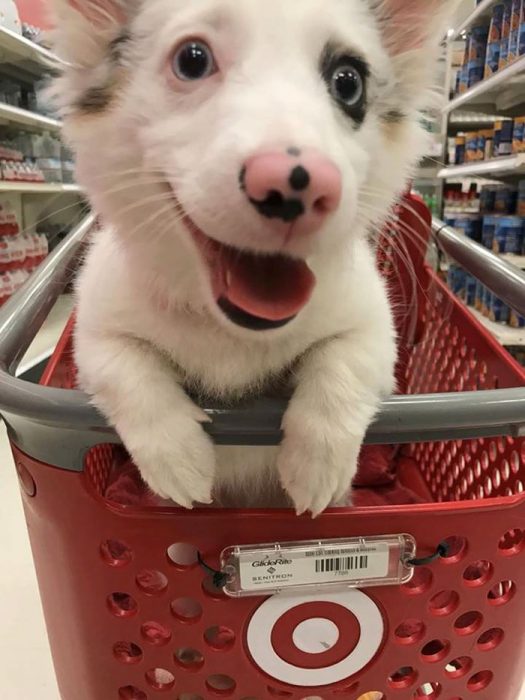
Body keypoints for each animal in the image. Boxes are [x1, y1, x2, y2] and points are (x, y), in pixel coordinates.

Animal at [51, 0, 456, 516]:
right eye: (192, 60)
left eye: (348, 82)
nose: (297, 185)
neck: (230, 332)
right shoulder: (95, 329)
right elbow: (125, 370)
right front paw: (178, 457)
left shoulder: (374, 326)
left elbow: (344, 361)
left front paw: (317, 463)